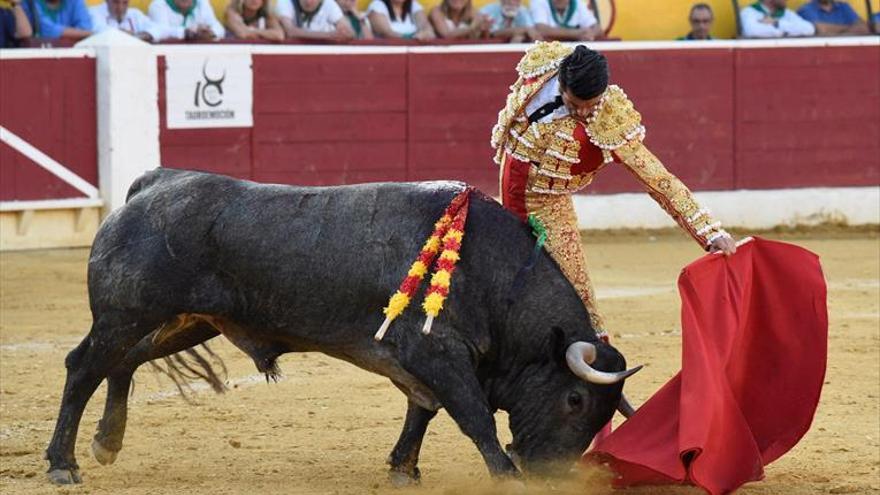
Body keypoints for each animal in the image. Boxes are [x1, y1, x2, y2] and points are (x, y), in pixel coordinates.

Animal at [44, 169, 636, 486]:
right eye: (576, 400)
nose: (552, 474)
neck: (493, 277)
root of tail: (156, 183)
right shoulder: (439, 355)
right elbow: (473, 418)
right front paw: (506, 478)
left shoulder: (420, 363)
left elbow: (421, 410)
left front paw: (403, 469)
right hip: (125, 313)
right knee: (83, 367)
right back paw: (62, 464)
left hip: (186, 322)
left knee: (123, 361)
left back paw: (106, 443)